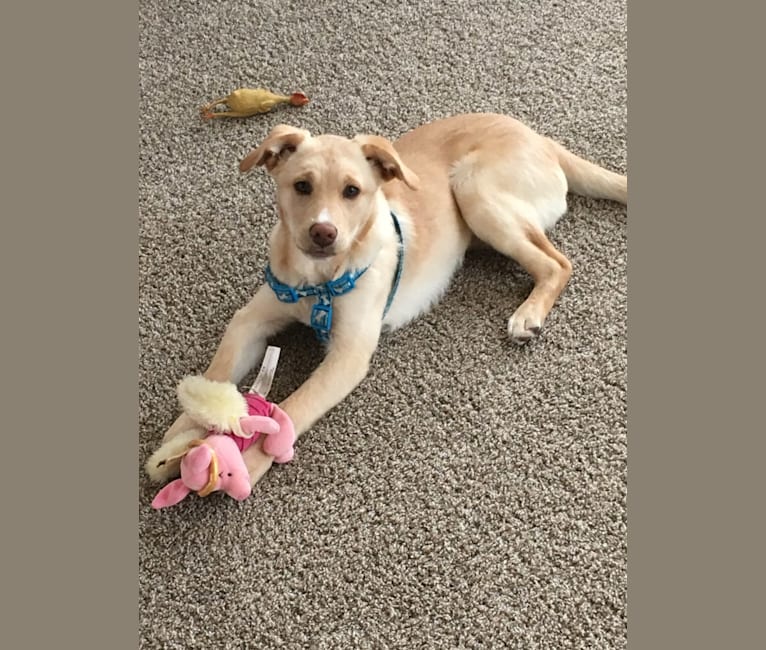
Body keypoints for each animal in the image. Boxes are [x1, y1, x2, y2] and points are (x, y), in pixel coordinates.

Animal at [146, 112, 632, 486]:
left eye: (352, 191)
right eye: (302, 186)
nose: (323, 233)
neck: (320, 280)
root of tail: (540, 138)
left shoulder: (348, 355)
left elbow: (293, 410)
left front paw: (246, 462)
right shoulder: (251, 318)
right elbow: (218, 370)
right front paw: (179, 438)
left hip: (474, 189)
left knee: (558, 263)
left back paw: (528, 314)